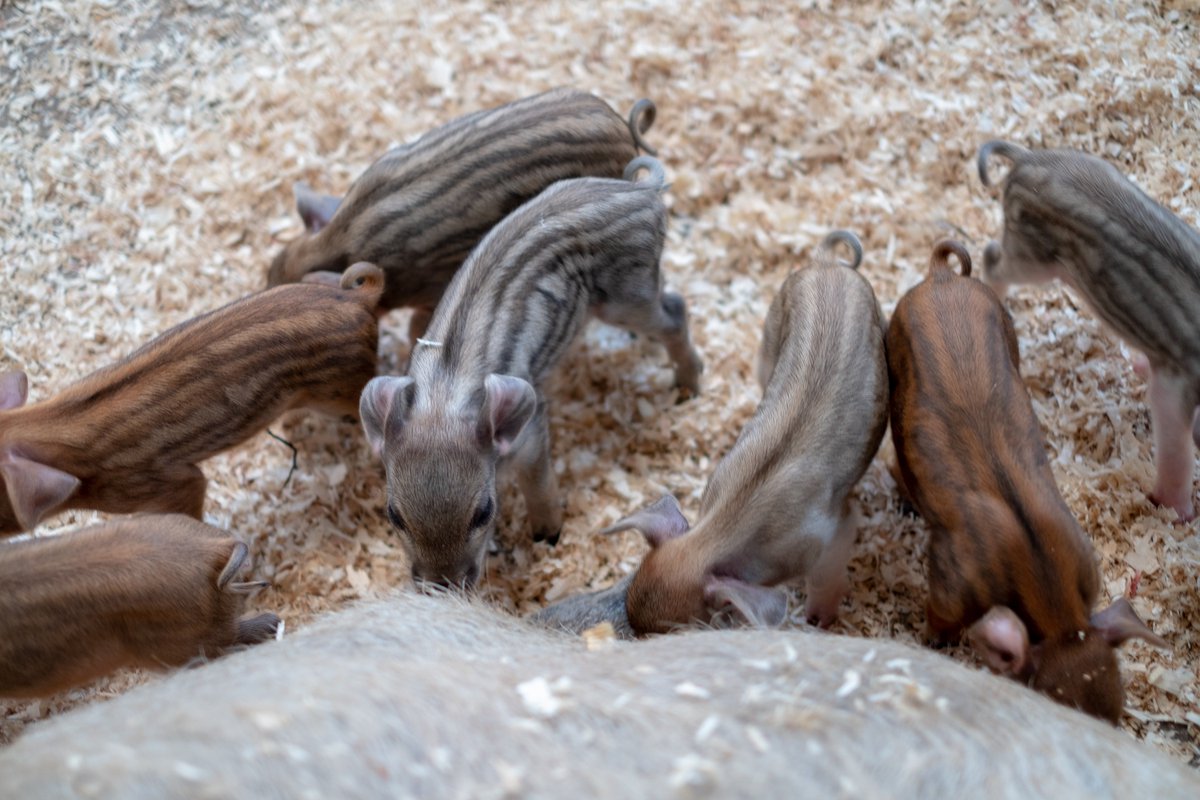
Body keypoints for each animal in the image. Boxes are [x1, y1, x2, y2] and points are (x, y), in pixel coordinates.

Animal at [359, 156, 703, 587]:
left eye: (484, 512)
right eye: (394, 515)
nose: (443, 588)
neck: (441, 399)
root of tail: (642, 191)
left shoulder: (533, 433)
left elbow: (539, 485)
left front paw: (548, 537)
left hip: (627, 296)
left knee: (675, 312)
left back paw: (690, 385)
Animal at [977, 140, 1200, 520]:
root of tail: (1026, 157)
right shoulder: (1177, 386)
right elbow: (1177, 452)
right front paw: (1178, 512)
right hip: (1030, 257)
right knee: (992, 257)